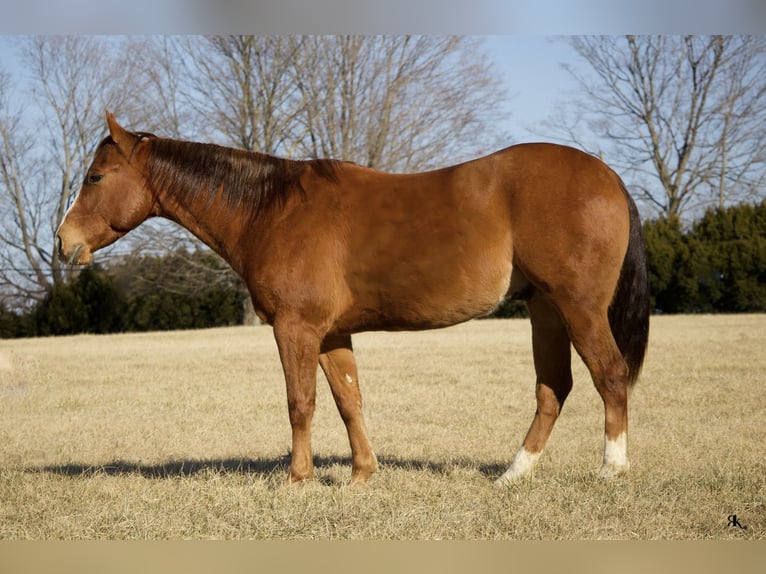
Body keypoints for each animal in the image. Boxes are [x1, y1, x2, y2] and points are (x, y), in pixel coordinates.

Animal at [57, 112, 652, 486]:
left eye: (95, 176)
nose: (64, 243)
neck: (272, 210)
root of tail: (608, 175)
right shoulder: (331, 334)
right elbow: (349, 400)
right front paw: (362, 474)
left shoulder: (295, 329)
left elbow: (300, 403)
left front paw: (297, 479)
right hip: (544, 310)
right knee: (554, 389)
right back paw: (514, 474)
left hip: (578, 307)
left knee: (609, 374)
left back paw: (612, 470)